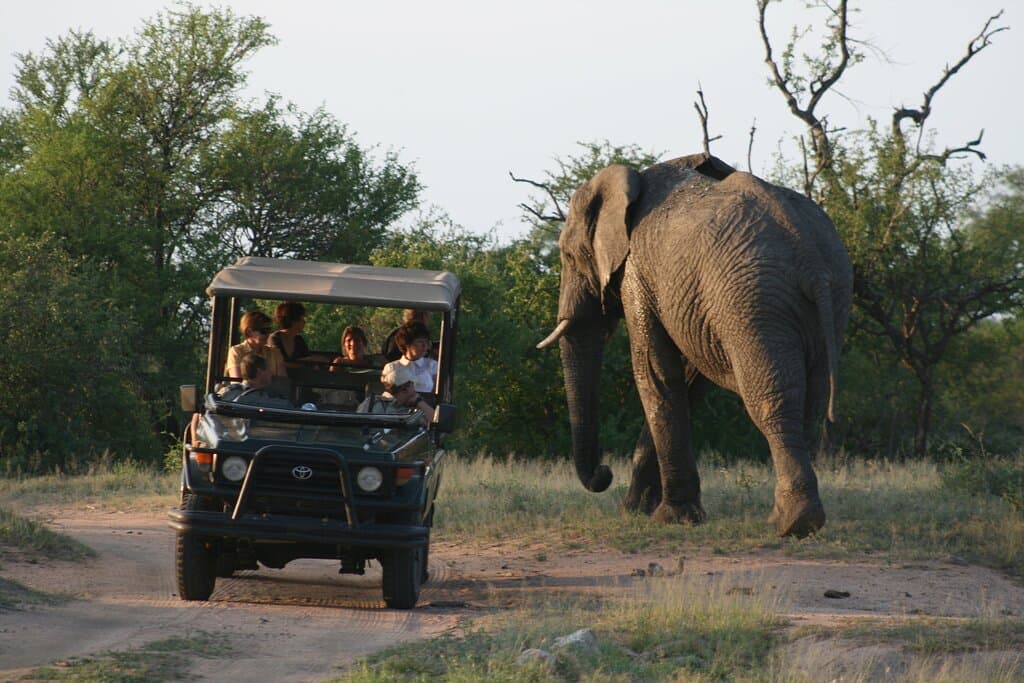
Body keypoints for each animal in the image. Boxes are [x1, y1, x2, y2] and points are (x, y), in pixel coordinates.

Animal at [537, 153, 852, 537]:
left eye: (568, 257)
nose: (604, 472)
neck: (630, 181)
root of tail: (807, 250)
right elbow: (686, 381)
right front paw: (634, 512)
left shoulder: (638, 273)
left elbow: (655, 372)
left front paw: (669, 518)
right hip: (830, 295)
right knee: (811, 399)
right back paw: (797, 519)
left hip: (751, 299)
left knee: (771, 400)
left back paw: (790, 524)